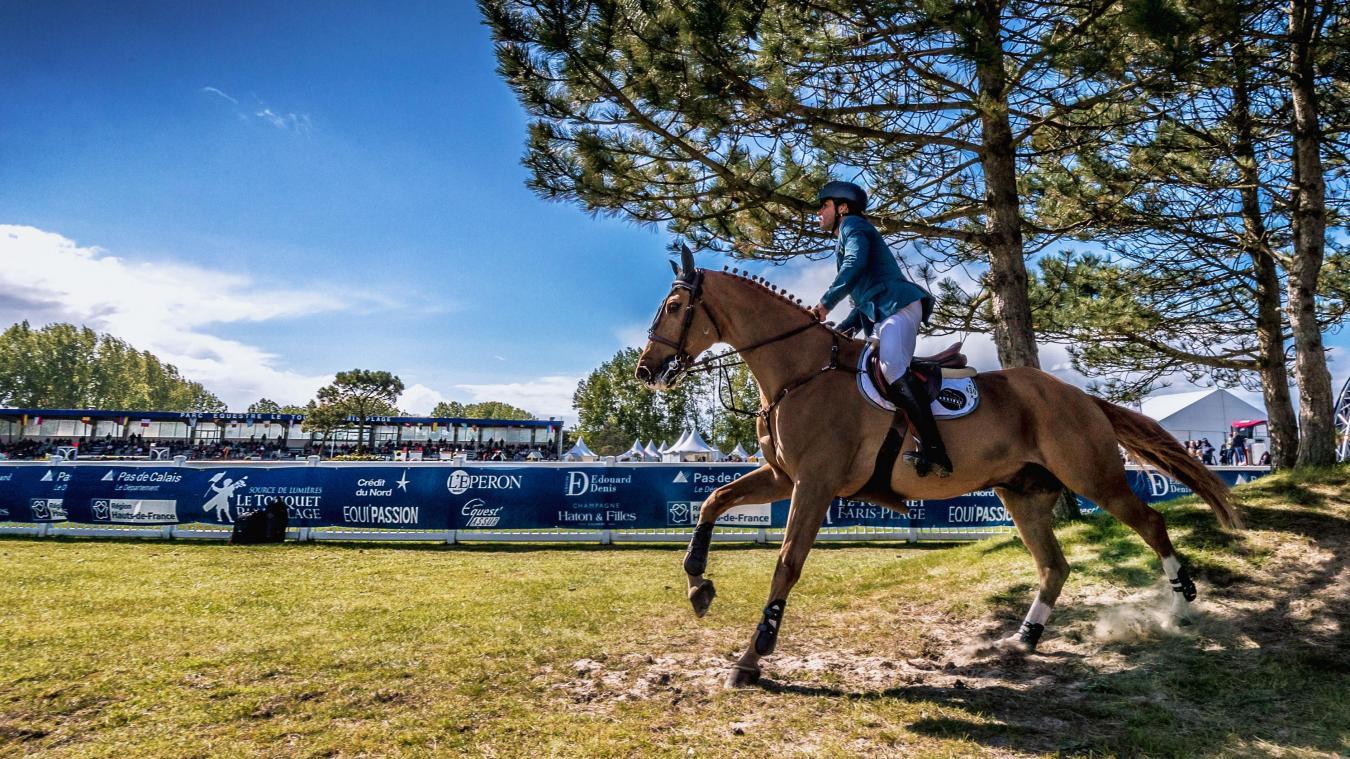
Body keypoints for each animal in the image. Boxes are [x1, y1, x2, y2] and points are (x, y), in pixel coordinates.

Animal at [637, 249, 1236, 686]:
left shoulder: (813, 484)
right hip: (1021, 495)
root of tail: (1077, 395)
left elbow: (786, 563)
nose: (647, 370)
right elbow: (713, 501)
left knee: (1151, 524)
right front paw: (698, 586)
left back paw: (1180, 606)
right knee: (1054, 566)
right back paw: (1024, 638)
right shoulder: (783, 477)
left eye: (674, 306)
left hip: (1095, 478)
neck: (801, 372)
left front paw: (754, 654)